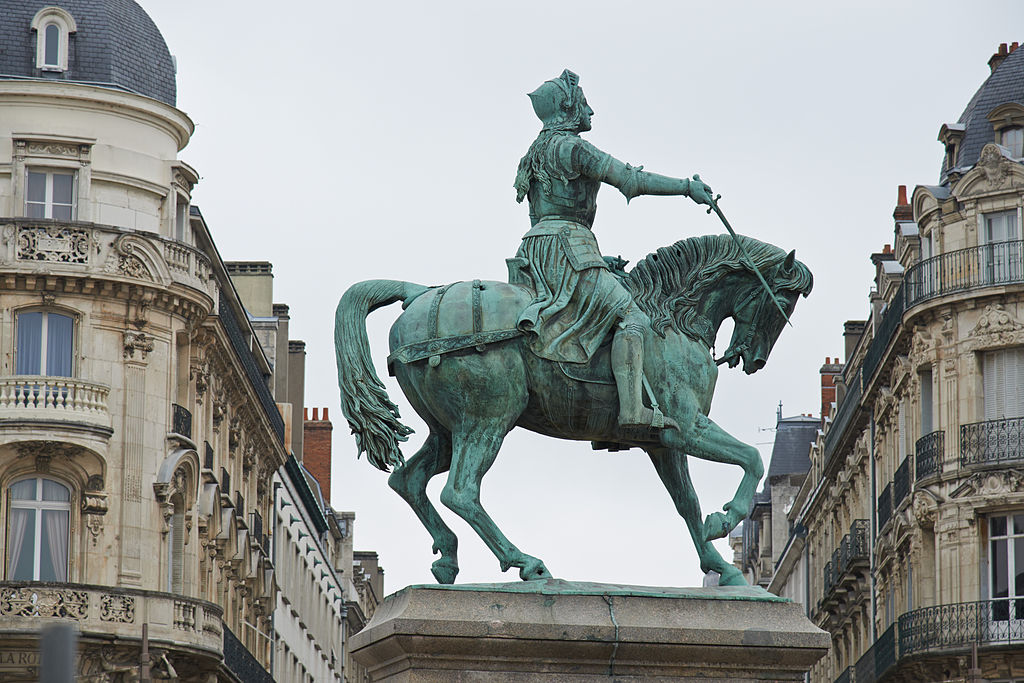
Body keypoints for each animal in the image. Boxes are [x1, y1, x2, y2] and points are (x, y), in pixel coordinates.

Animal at [333, 235, 806, 589]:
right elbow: (752, 458)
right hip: (488, 418)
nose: (754, 359)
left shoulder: (662, 442)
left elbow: (687, 503)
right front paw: (725, 519)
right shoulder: (685, 428)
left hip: (448, 430)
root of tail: (420, 294)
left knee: (408, 480)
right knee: (461, 491)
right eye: (782, 300)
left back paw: (448, 557)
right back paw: (526, 562)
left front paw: (720, 565)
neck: (670, 319)